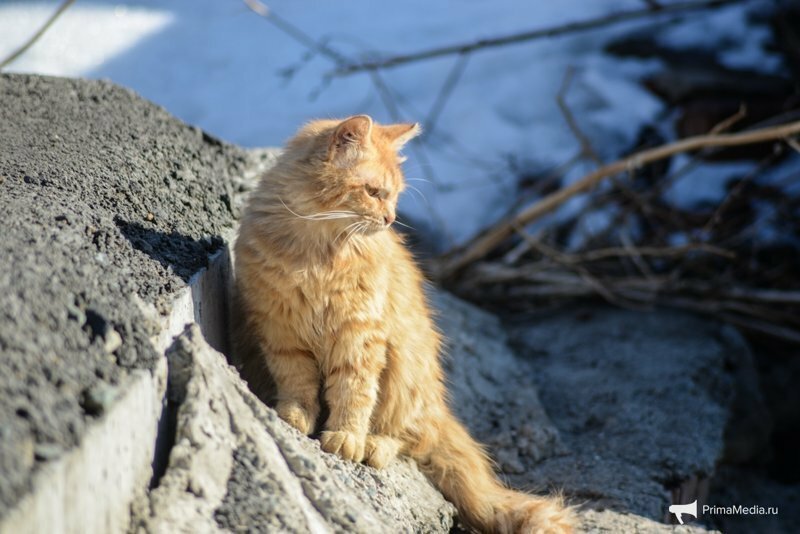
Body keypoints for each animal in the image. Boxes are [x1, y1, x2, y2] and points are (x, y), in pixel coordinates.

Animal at [234, 115, 572, 532]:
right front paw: (296, 416)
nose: (390, 219)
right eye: (373, 192)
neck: (316, 256)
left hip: (406, 374)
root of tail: (438, 408)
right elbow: (297, 382)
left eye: (394, 196)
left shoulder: (360, 337)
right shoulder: (279, 329)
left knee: (410, 438)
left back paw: (374, 446)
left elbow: (353, 394)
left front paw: (346, 437)